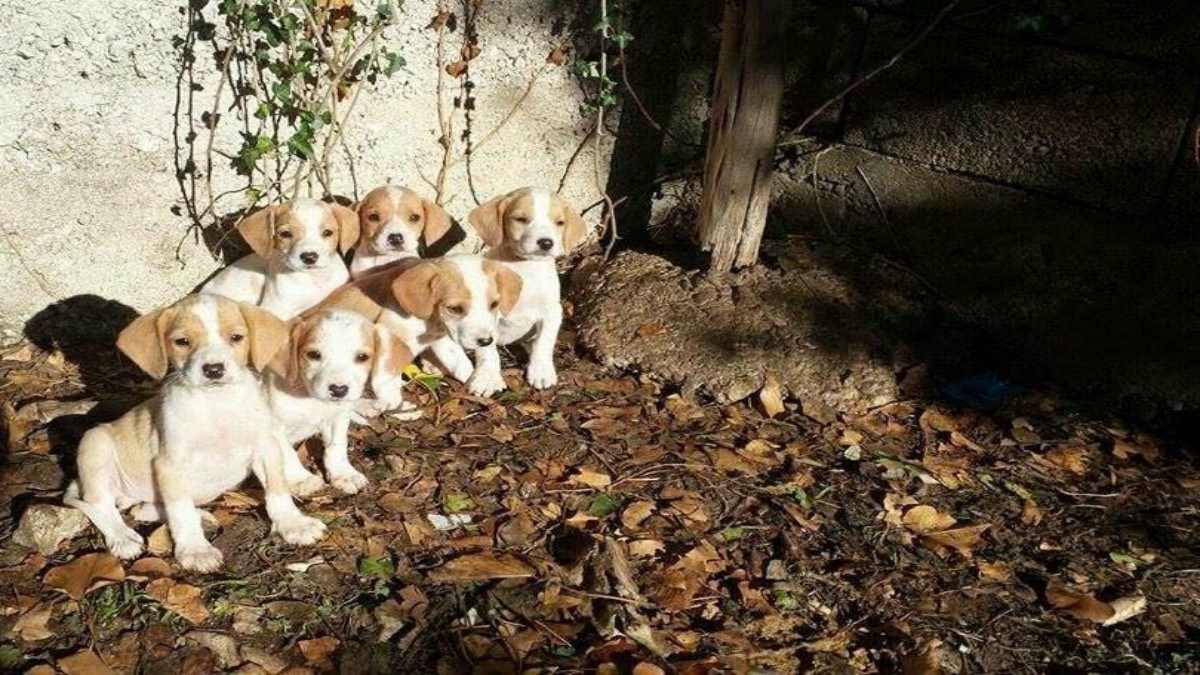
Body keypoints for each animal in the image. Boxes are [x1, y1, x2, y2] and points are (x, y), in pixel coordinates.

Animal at [63, 291, 326, 569]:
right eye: (182, 341)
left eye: (236, 337)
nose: (213, 370)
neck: (216, 405)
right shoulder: (170, 464)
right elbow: (180, 511)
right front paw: (195, 549)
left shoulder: (266, 449)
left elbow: (278, 491)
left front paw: (293, 524)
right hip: (95, 443)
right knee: (101, 505)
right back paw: (122, 536)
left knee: (144, 509)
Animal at [262, 309, 412, 494]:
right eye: (314, 355)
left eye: (362, 357)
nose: (339, 390)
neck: (311, 399)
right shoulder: (271, 428)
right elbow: (285, 454)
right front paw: (300, 480)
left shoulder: (337, 419)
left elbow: (337, 446)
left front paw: (344, 474)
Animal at [316, 251, 523, 398]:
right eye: (454, 309)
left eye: (494, 305)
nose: (485, 341)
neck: (433, 321)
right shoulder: (392, 329)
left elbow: (467, 357)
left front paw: (486, 378)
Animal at [465, 186, 588, 389]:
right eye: (521, 219)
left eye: (559, 223)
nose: (546, 242)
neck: (525, 268)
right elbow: (488, 353)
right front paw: (487, 379)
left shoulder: (552, 312)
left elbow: (543, 344)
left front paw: (541, 372)